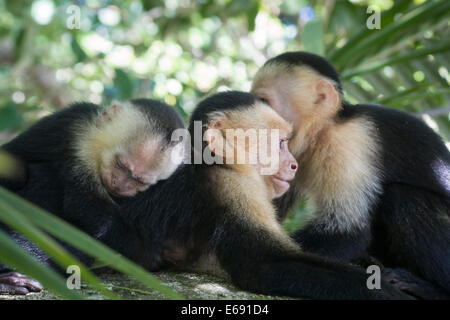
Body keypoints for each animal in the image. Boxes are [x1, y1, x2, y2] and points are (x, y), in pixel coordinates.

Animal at [109, 92, 408, 300]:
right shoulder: (235, 186)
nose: (294, 165)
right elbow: (261, 264)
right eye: (280, 144)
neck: (222, 163)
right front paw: (384, 290)